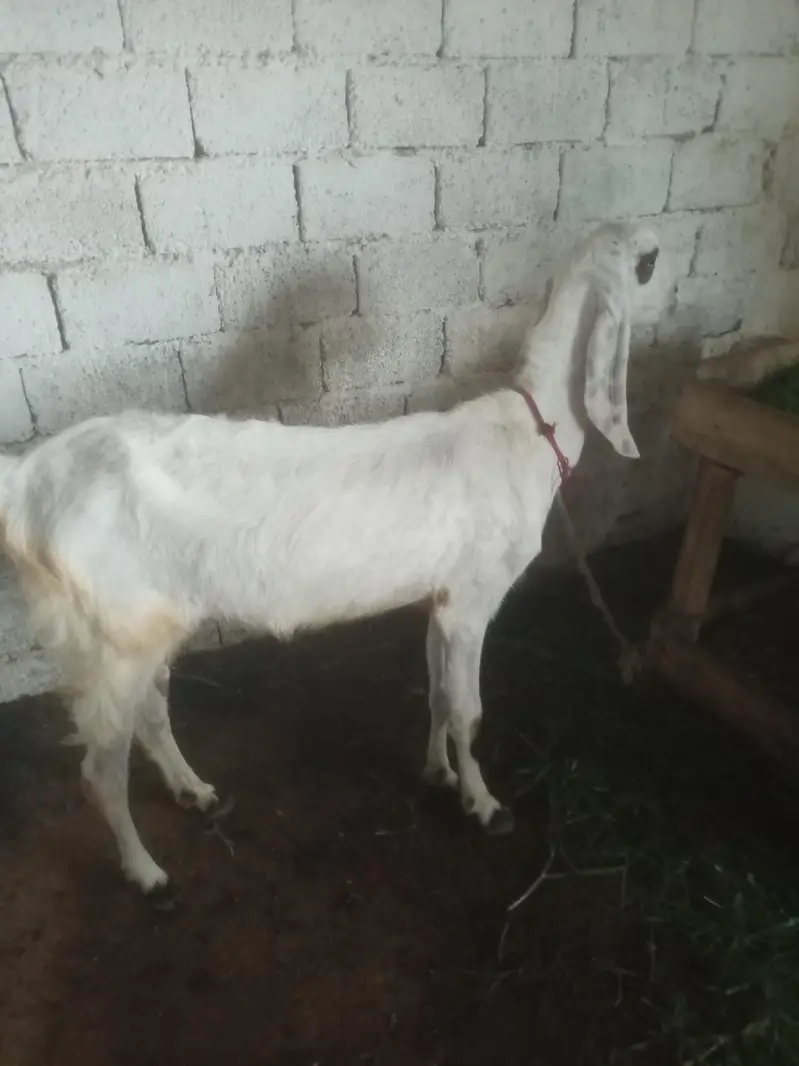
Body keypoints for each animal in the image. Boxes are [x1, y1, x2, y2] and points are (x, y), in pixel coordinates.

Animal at [0, 221, 661, 901]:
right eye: (649, 262)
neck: (528, 434)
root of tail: (25, 481)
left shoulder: (442, 596)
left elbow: (437, 694)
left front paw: (439, 773)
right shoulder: (474, 599)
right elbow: (470, 712)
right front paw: (485, 806)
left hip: (144, 624)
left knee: (151, 714)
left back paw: (195, 792)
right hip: (109, 636)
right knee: (101, 769)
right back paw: (147, 872)